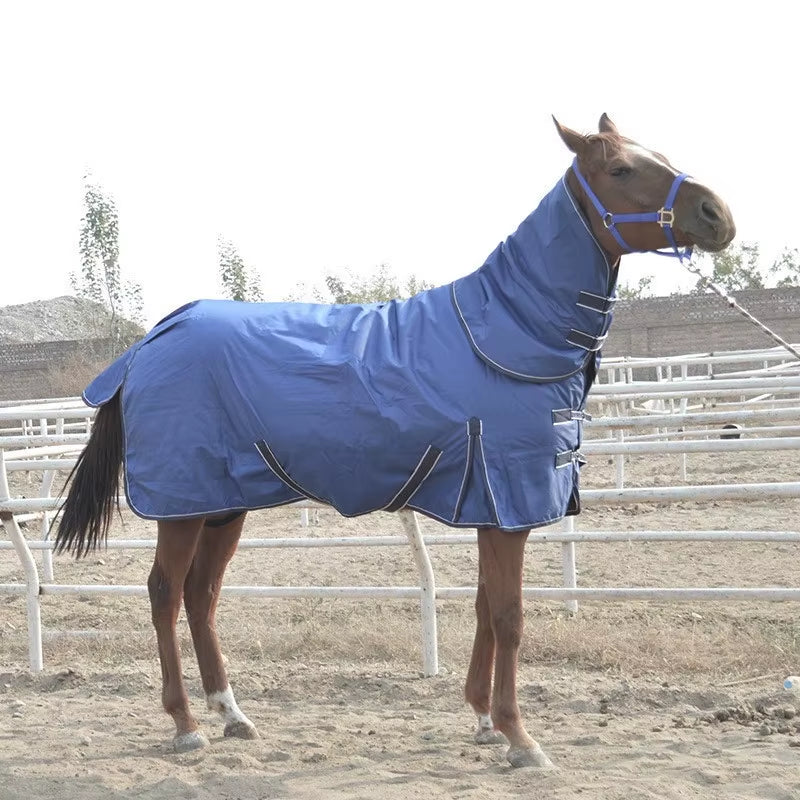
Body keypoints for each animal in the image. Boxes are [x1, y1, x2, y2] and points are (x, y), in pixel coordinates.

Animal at [54, 114, 736, 768]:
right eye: (621, 169)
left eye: (661, 156)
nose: (717, 215)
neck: (508, 331)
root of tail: (149, 342)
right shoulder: (510, 502)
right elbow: (510, 617)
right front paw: (519, 737)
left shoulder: (492, 508)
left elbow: (486, 607)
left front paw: (483, 720)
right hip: (183, 506)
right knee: (165, 594)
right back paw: (186, 724)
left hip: (222, 505)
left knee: (201, 596)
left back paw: (232, 714)